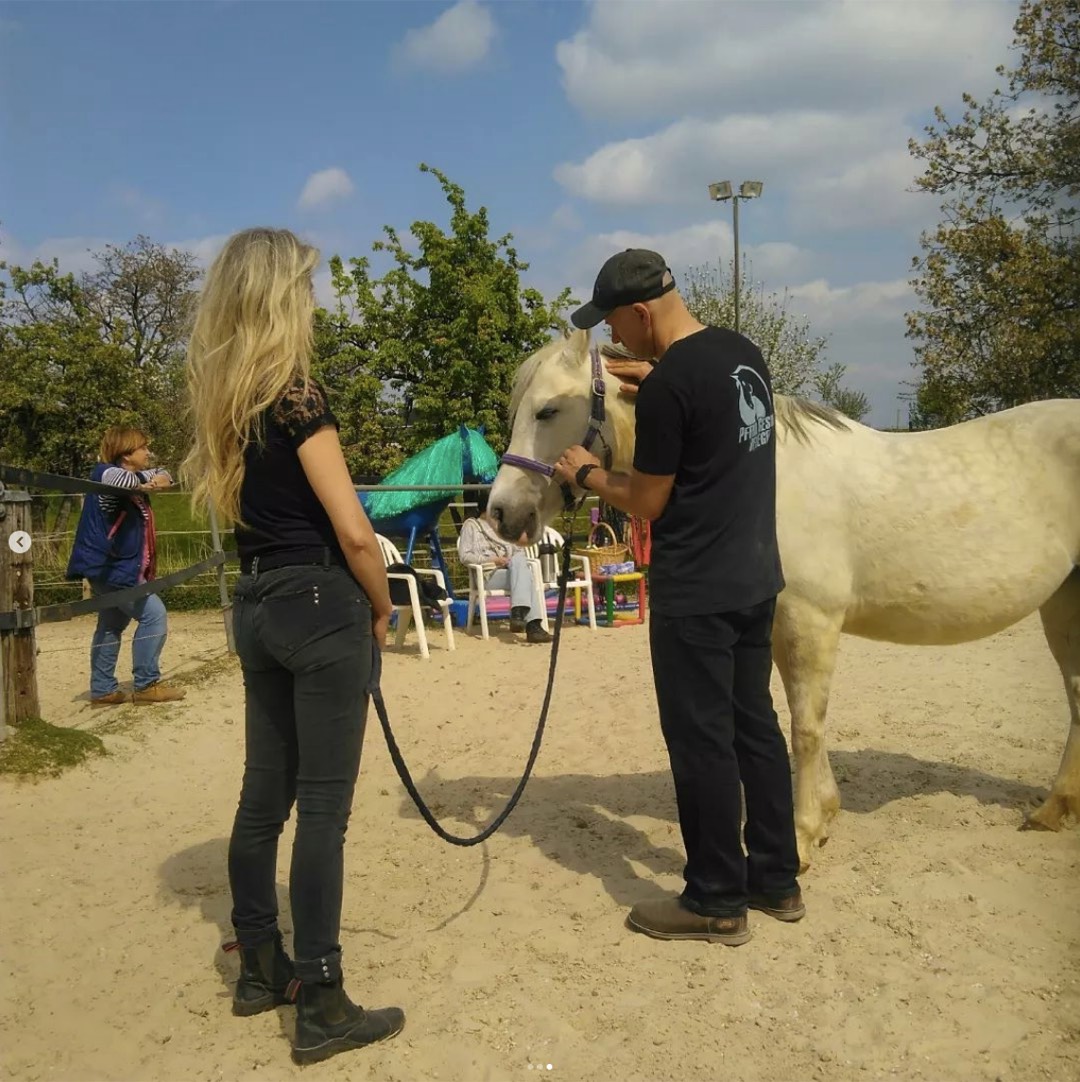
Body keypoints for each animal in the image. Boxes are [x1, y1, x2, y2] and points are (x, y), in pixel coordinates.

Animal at [487, 328, 1080, 870]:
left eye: (547, 410)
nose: (500, 514)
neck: (758, 485)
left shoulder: (811, 622)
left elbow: (805, 726)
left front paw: (802, 834)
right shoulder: (779, 626)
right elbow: (796, 718)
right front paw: (824, 813)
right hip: (1062, 604)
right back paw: (1054, 810)